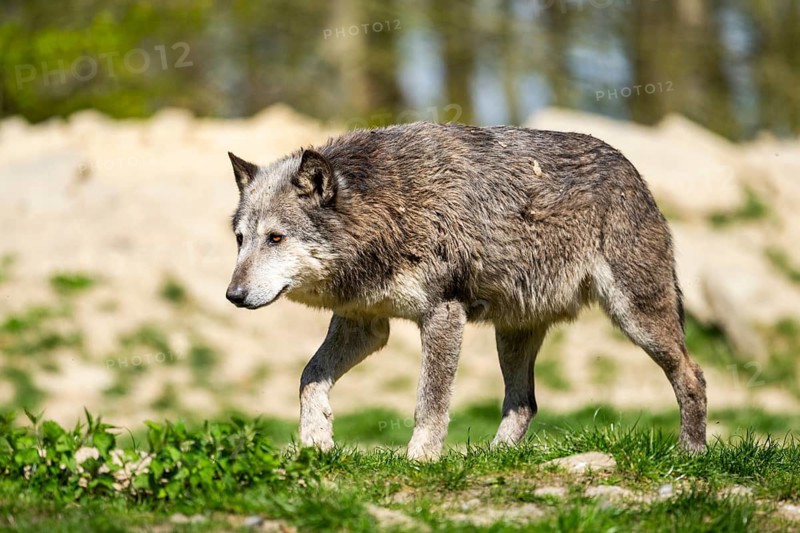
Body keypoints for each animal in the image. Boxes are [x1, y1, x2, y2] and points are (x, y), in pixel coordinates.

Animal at [225, 121, 707, 461]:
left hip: (636, 317)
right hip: (512, 335)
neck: (388, 207)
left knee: (692, 375)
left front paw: (420, 461)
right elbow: (309, 378)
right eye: (240, 239)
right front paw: (316, 441)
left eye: (275, 238)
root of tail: (634, 173)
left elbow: (430, 403)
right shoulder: (366, 325)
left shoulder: (443, 314)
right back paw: (493, 460)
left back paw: (691, 453)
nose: (233, 295)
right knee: (524, 404)